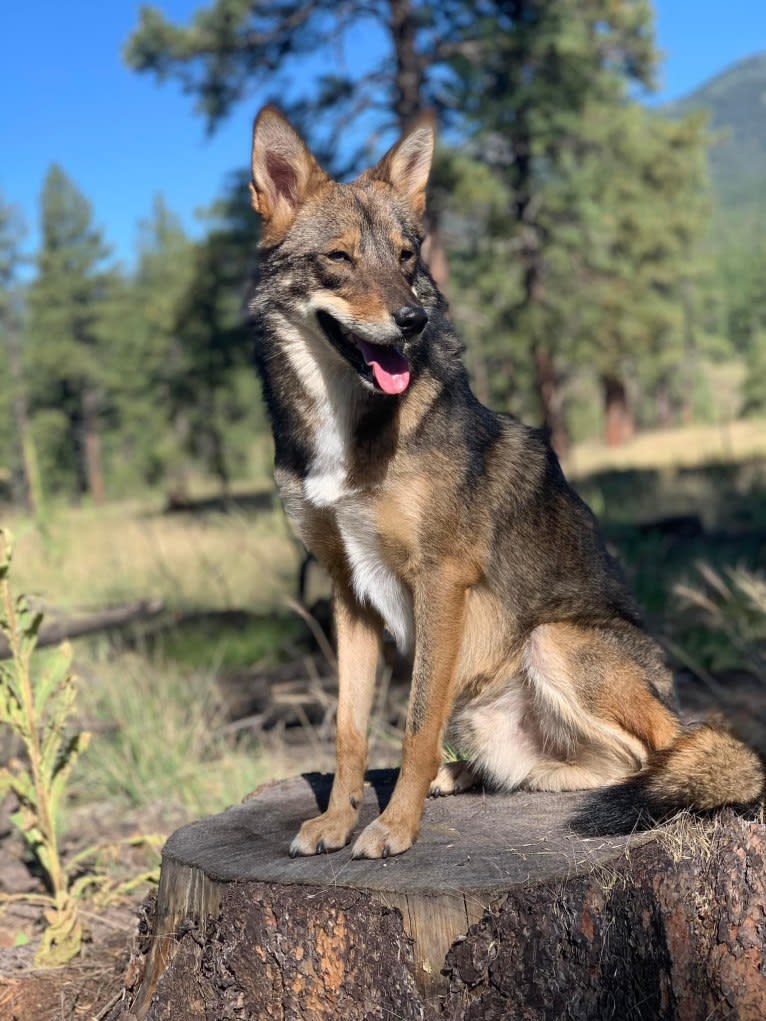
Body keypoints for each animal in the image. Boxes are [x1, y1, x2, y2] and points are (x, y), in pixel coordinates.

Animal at [249, 103, 763, 857]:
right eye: (339, 259)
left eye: (406, 257)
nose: (412, 320)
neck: (348, 426)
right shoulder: (350, 594)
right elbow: (348, 730)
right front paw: (338, 820)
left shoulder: (440, 578)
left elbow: (413, 726)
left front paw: (392, 826)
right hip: (486, 707)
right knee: (588, 766)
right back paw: (465, 777)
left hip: (553, 642)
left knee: (665, 752)